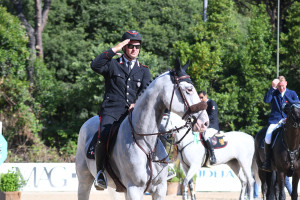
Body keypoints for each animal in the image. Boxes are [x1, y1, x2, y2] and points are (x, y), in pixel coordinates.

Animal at [76, 58, 210, 200]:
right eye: (189, 89)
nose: (204, 122)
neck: (146, 143)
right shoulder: (134, 189)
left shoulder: (160, 188)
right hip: (84, 181)